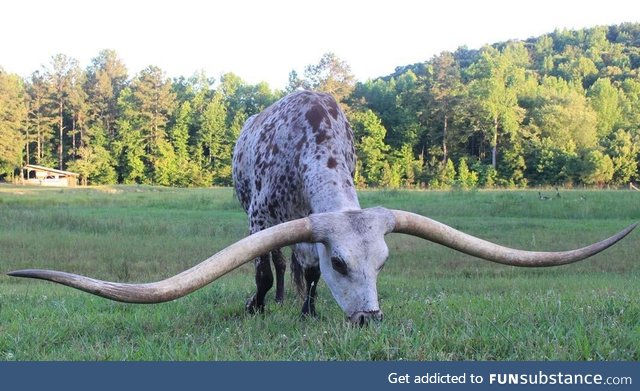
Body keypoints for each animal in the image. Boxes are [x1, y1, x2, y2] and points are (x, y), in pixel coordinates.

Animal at [8, 91, 636, 324]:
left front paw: (310, 310)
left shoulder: (309, 225)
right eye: (343, 263)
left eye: (383, 263)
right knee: (275, 264)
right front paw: (258, 306)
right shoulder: (263, 217)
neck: (313, 140)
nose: (369, 319)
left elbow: (304, 269)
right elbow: (267, 268)